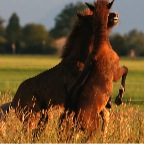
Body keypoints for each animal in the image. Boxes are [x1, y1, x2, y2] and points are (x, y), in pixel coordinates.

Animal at [0, 2, 119, 140]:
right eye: (95, 15)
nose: (115, 15)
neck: (80, 60)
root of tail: (13, 101)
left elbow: (104, 115)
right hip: (31, 117)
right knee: (25, 135)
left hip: (42, 117)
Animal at [63, 0, 128, 138]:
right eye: (109, 10)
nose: (116, 15)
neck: (101, 45)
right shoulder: (116, 73)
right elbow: (125, 70)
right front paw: (119, 98)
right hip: (91, 128)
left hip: (74, 128)